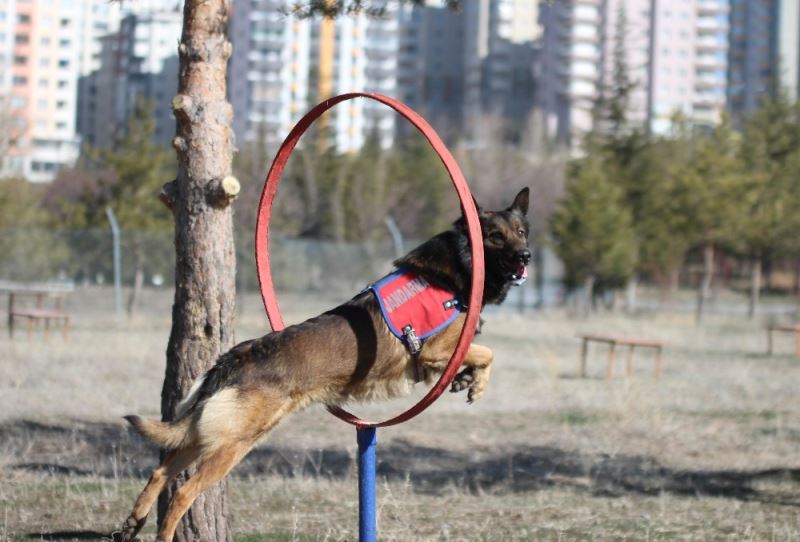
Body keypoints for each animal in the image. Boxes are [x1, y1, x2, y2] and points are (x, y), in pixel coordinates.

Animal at [115, 189, 532, 540]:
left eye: (521, 232)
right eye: (495, 236)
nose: (526, 256)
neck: (457, 265)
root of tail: (232, 358)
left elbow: (479, 357)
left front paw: (465, 381)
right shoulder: (434, 349)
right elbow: (487, 352)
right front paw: (476, 383)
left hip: (213, 434)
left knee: (161, 470)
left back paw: (132, 522)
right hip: (232, 445)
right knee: (182, 492)